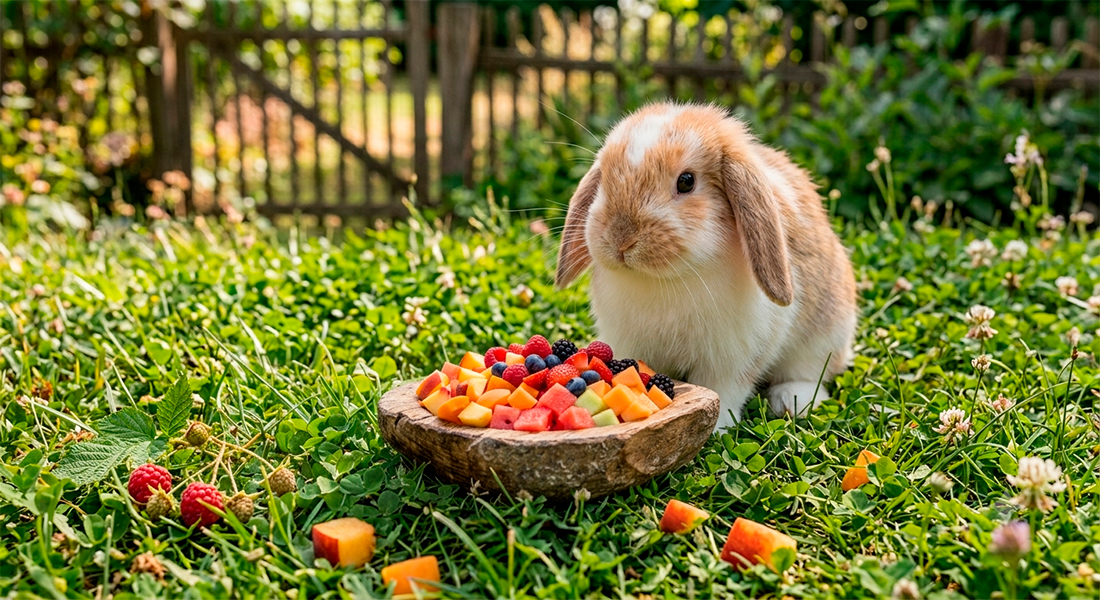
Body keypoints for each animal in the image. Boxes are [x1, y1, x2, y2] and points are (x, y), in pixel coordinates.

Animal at [554, 102, 857, 430]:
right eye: (605, 179)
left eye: (686, 181)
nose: (621, 238)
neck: (666, 279)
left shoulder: (733, 357)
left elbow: (723, 389)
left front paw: (718, 425)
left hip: (825, 336)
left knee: (811, 372)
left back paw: (792, 400)